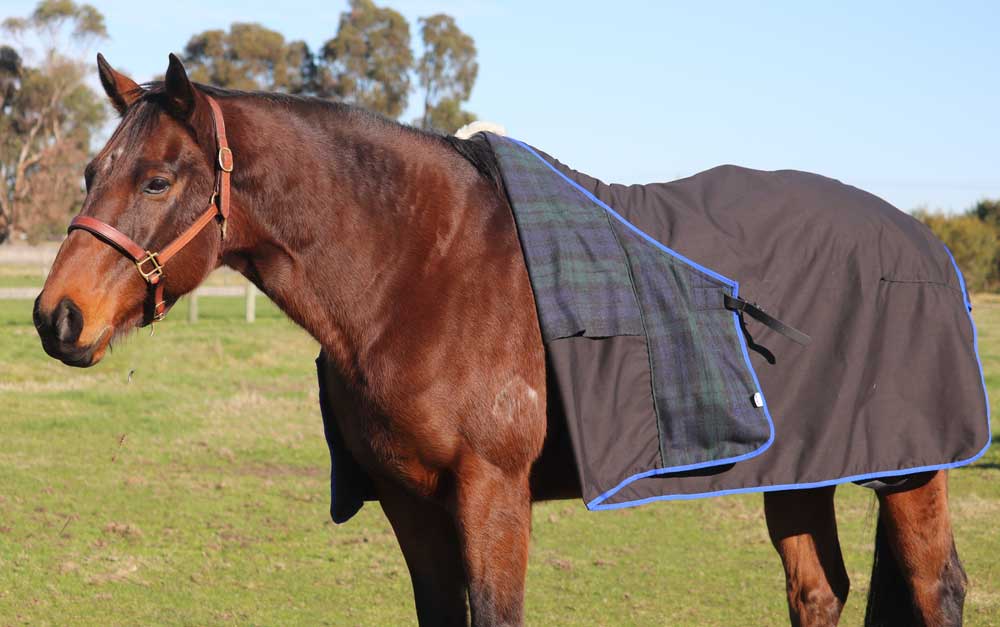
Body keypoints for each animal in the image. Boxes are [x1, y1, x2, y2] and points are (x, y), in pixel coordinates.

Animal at [33, 53, 969, 627]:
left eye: (158, 180)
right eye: (89, 172)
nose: (57, 316)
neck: (424, 272)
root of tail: (925, 243)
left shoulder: (492, 491)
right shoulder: (410, 497)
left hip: (908, 473)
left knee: (936, 589)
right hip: (802, 468)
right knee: (818, 592)